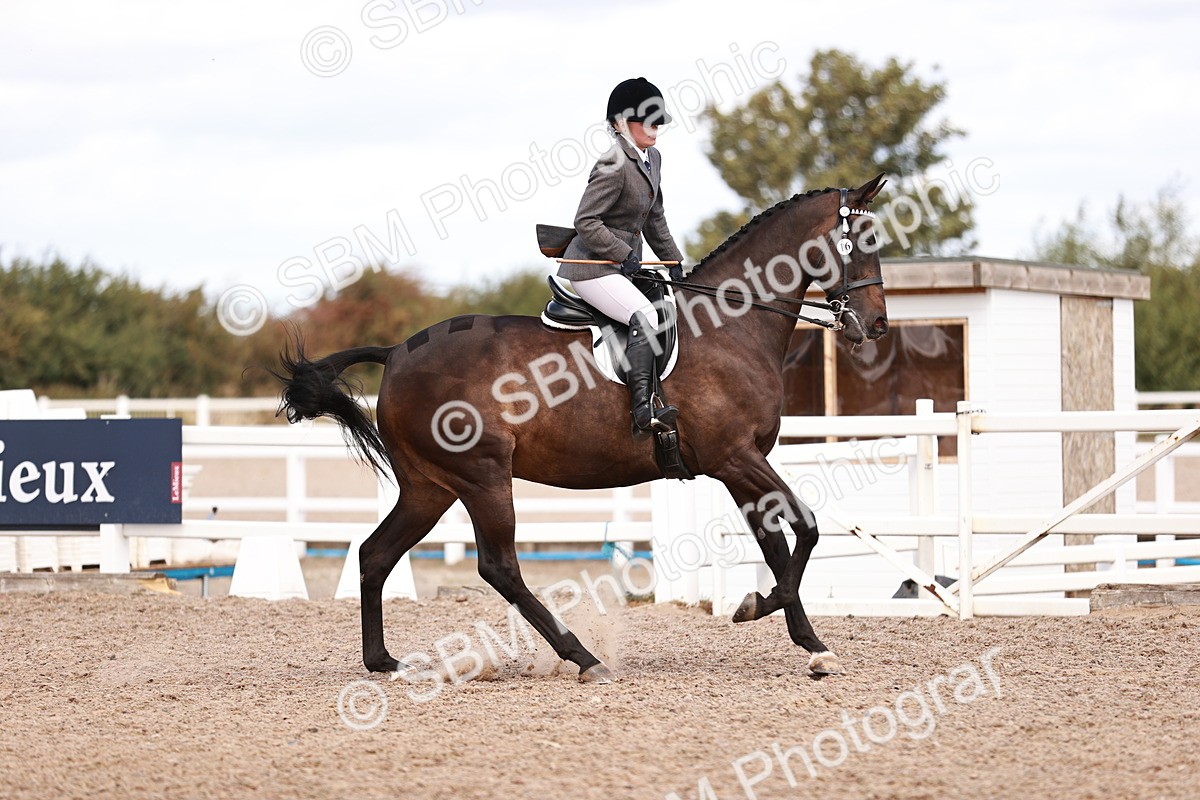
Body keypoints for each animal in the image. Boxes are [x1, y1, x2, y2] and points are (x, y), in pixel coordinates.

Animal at [275, 174, 889, 683]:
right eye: (860, 242)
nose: (878, 325)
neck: (731, 325)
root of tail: (397, 352)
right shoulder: (735, 457)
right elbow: (807, 529)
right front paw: (757, 607)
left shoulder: (741, 467)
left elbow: (779, 546)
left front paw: (811, 645)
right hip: (482, 476)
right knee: (499, 566)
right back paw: (583, 658)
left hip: (431, 486)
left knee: (376, 554)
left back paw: (383, 661)